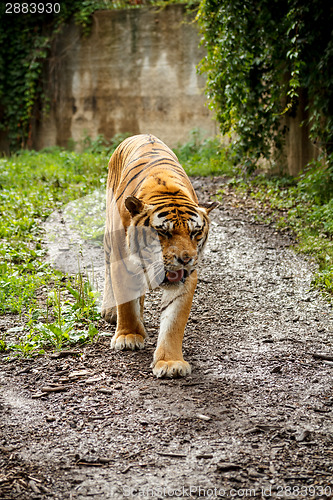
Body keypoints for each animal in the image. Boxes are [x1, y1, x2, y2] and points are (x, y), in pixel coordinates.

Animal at [100, 135, 217, 376]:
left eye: (195, 232)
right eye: (163, 232)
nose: (186, 259)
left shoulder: (187, 277)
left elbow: (174, 320)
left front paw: (170, 362)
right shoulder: (122, 260)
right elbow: (126, 301)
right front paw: (128, 336)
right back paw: (111, 311)